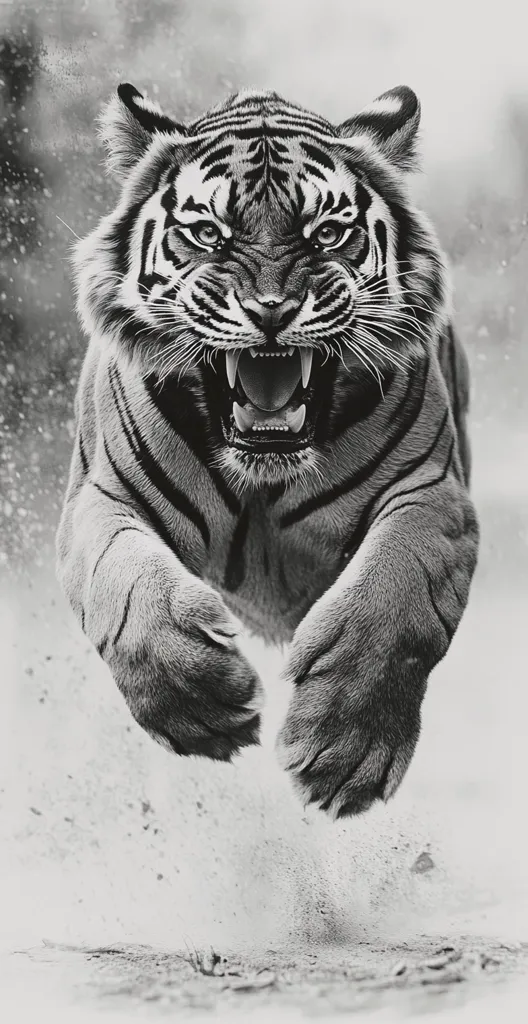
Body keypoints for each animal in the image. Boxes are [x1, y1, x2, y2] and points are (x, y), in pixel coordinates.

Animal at [56, 82, 479, 819]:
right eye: (207, 232)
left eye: (327, 233)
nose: (272, 309)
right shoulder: (100, 498)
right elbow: (127, 586)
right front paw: (201, 706)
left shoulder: (433, 498)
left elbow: (391, 602)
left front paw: (344, 753)